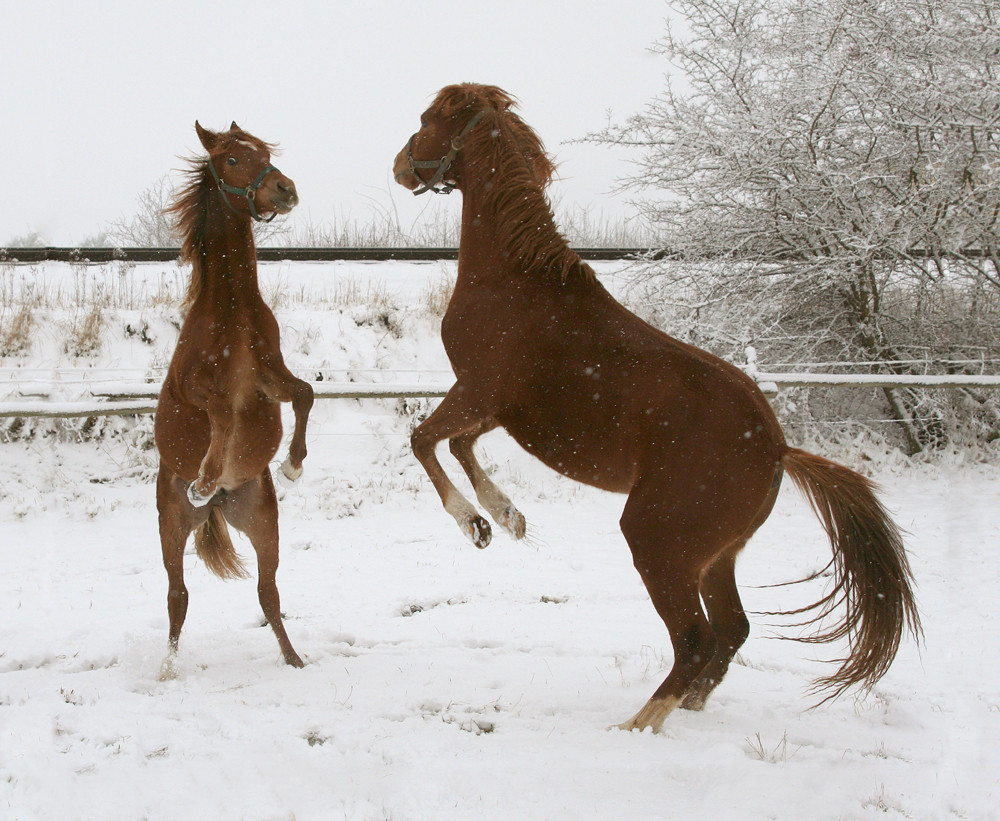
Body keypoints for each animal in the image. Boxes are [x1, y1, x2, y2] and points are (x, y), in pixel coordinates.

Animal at [154, 121, 312, 672]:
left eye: (263, 151)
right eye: (234, 160)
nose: (285, 189)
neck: (233, 311)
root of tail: (222, 507)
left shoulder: (270, 377)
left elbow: (305, 394)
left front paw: (293, 465)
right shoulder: (189, 386)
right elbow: (221, 409)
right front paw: (204, 476)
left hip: (264, 524)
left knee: (268, 592)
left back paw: (294, 661)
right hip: (171, 526)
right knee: (177, 596)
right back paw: (167, 670)